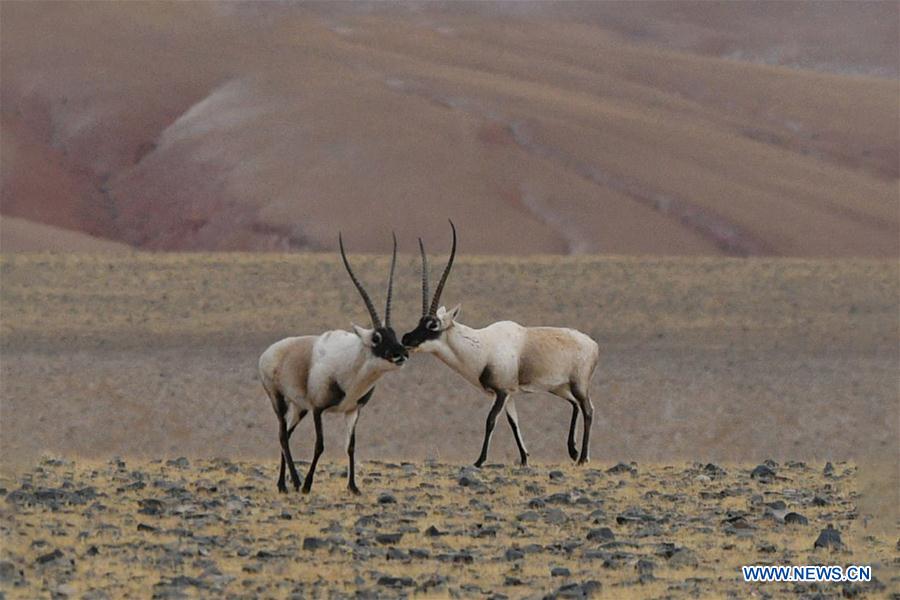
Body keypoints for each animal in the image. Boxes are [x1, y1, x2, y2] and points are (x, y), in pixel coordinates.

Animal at [258, 233, 408, 494]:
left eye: (393, 333)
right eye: (377, 338)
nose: (401, 354)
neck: (351, 368)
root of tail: (269, 352)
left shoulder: (352, 410)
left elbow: (351, 446)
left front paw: (353, 487)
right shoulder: (318, 409)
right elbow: (320, 445)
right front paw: (307, 485)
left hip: (300, 408)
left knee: (286, 434)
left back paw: (282, 484)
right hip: (279, 400)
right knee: (282, 435)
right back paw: (294, 482)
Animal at [401, 222, 600, 467]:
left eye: (433, 325)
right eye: (420, 322)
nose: (406, 339)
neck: (483, 348)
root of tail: (592, 344)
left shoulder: (502, 392)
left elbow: (490, 420)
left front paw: (479, 461)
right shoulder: (511, 394)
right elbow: (513, 423)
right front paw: (524, 459)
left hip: (579, 384)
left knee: (588, 409)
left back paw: (582, 457)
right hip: (559, 387)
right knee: (574, 405)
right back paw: (572, 451)